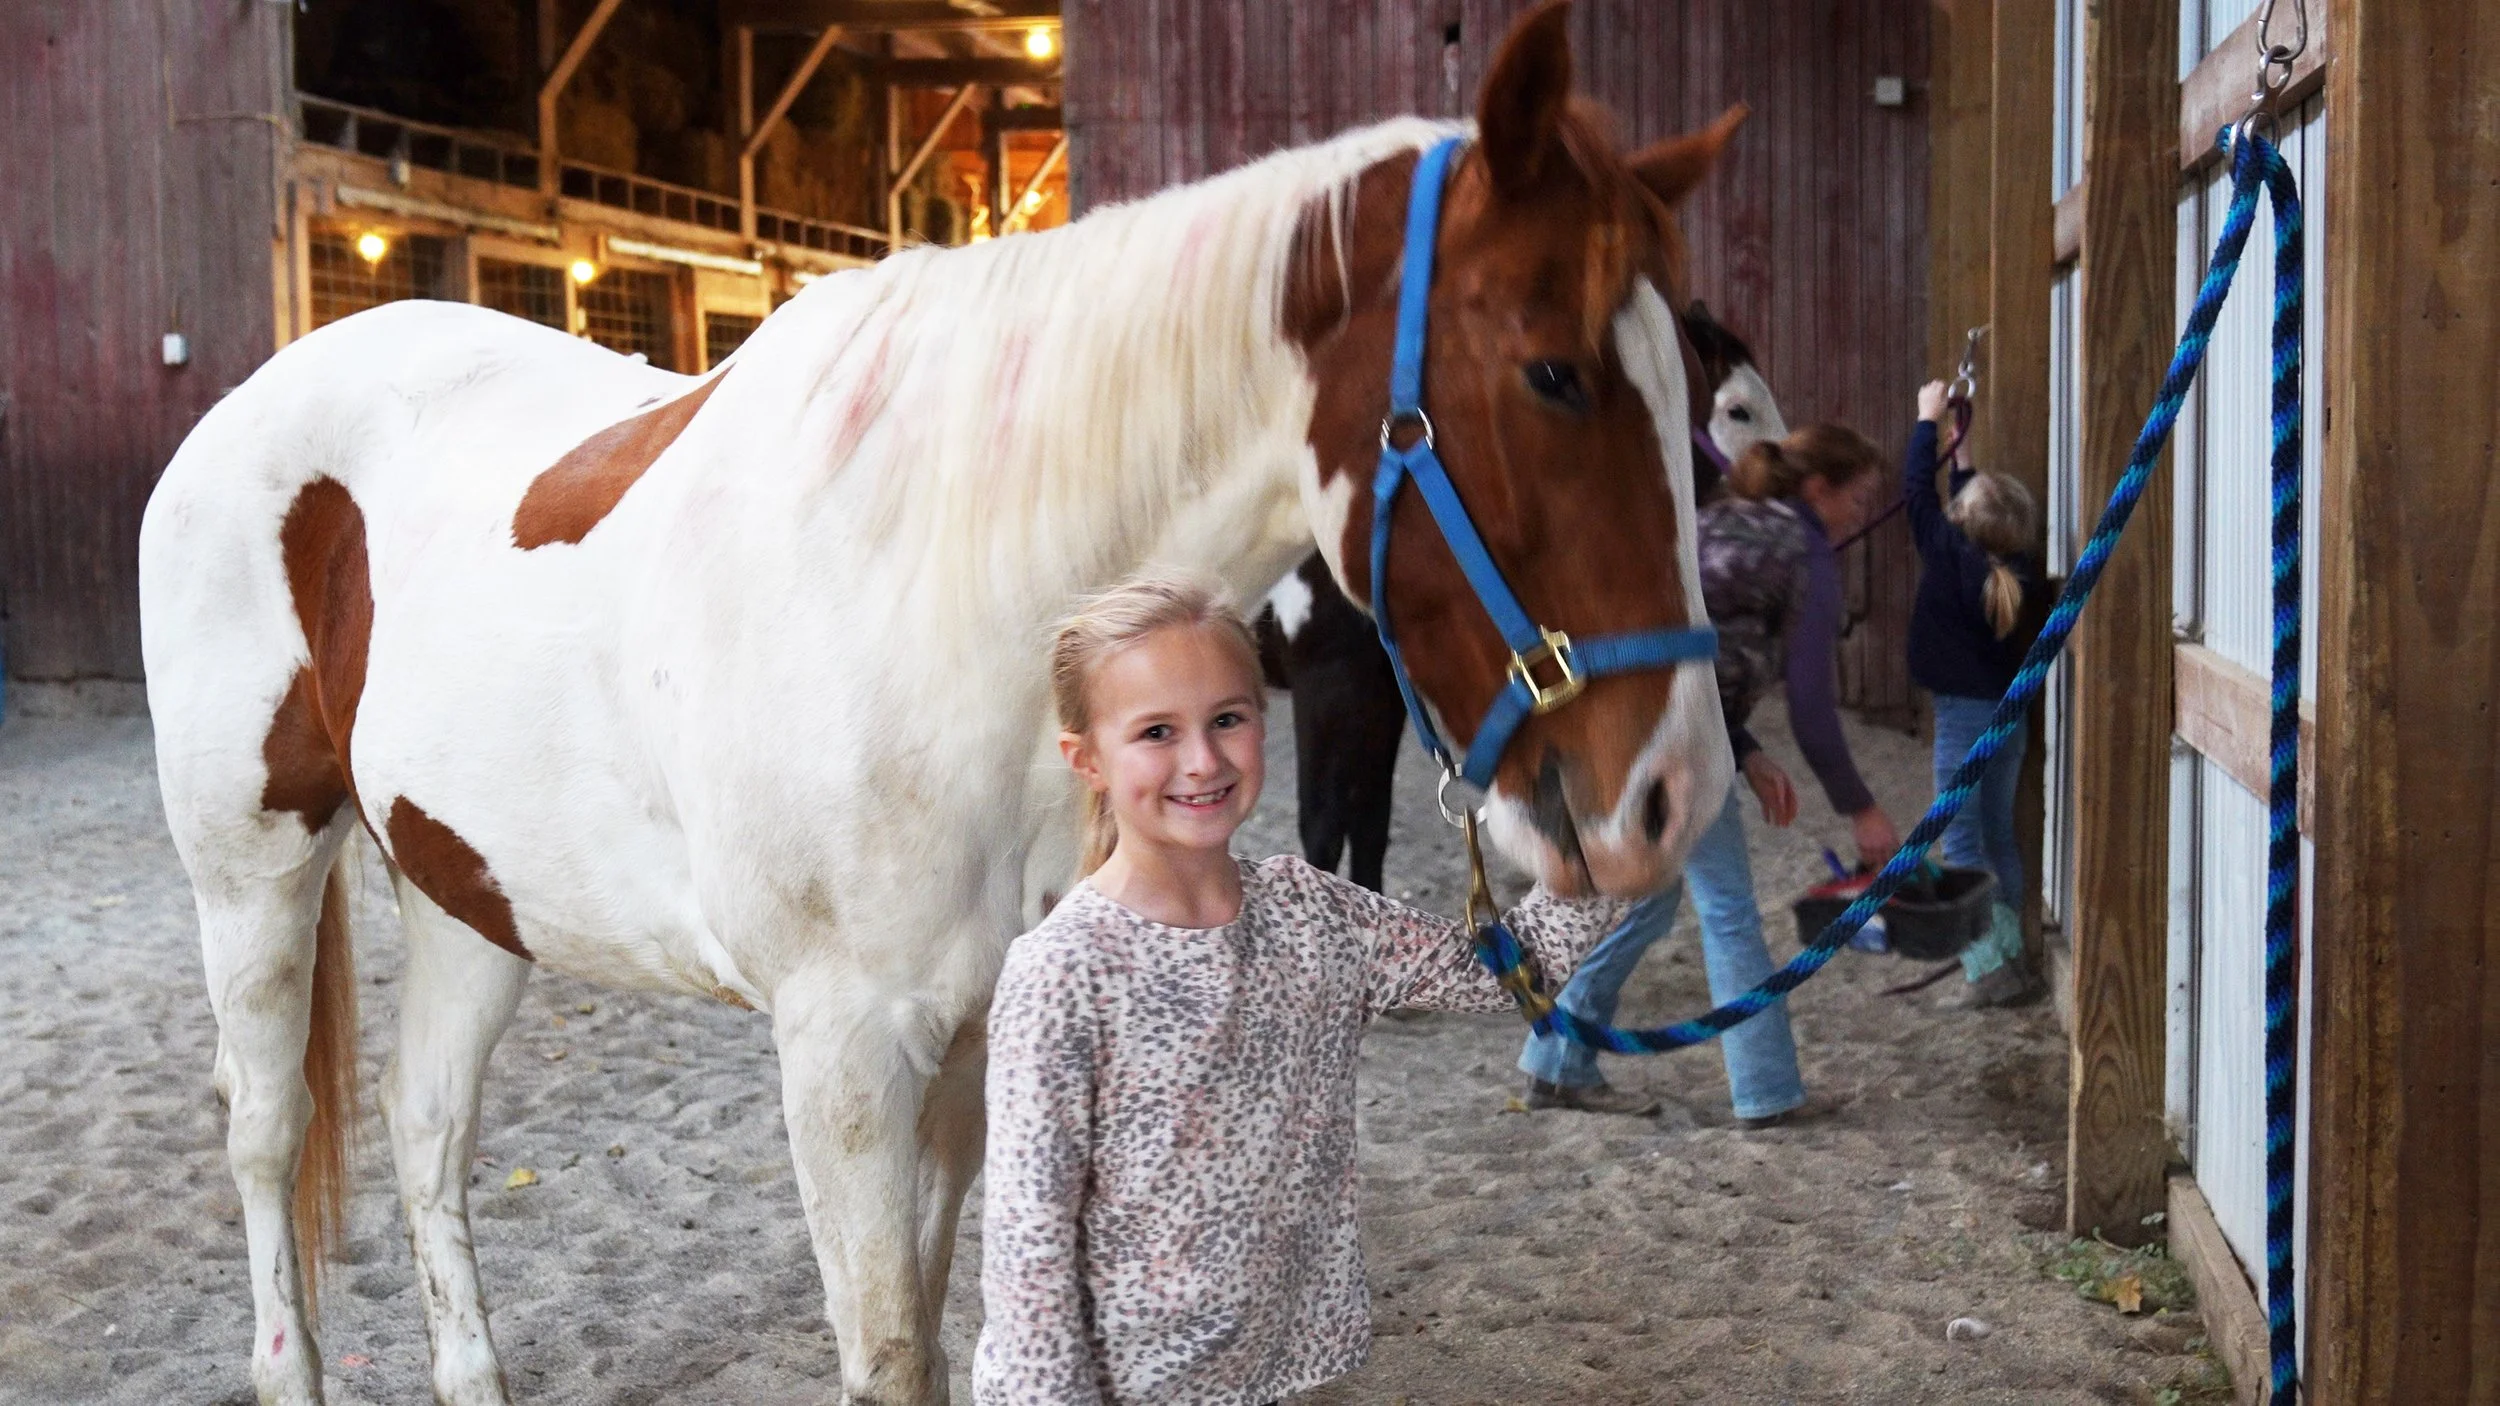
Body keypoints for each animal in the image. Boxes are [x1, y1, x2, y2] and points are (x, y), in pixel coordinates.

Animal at [1259, 302, 1787, 891]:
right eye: (1738, 410)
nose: (1787, 475)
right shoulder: (1327, 678)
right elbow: (1325, 828)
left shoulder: (1380, 691)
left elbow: (1370, 823)